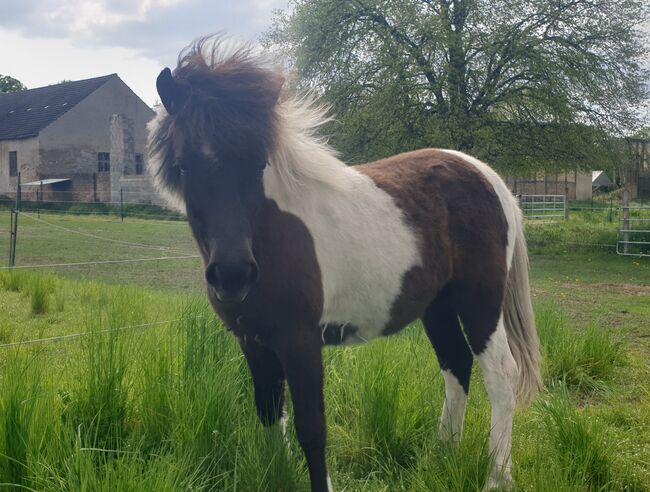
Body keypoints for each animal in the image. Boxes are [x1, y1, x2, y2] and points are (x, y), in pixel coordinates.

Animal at [148, 36, 540, 490]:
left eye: (258, 164)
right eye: (183, 166)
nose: (232, 275)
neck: (271, 233)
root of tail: (488, 176)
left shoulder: (300, 342)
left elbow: (311, 430)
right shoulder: (254, 342)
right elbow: (270, 418)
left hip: (480, 302)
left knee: (500, 374)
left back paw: (496, 476)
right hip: (438, 305)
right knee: (456, 364)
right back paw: (441, 456)